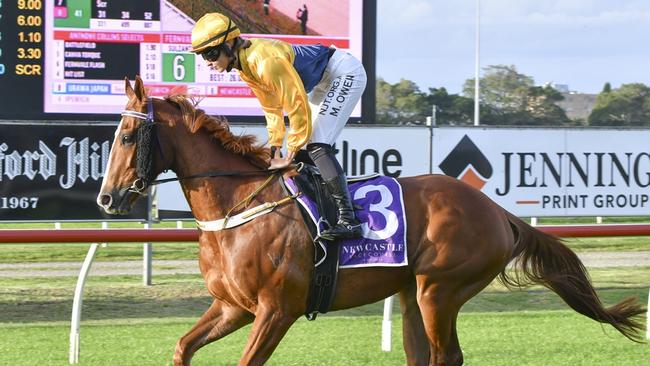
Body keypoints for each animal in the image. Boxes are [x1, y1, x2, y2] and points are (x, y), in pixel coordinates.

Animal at [97, 76, 644, 364]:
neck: (238, 207)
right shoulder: (233, 307)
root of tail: (498, 212)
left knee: (447, 356)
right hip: (412, 294)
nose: (106, 198)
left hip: (439, 290)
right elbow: (182, 347)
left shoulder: (276, 309)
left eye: (126, 136)